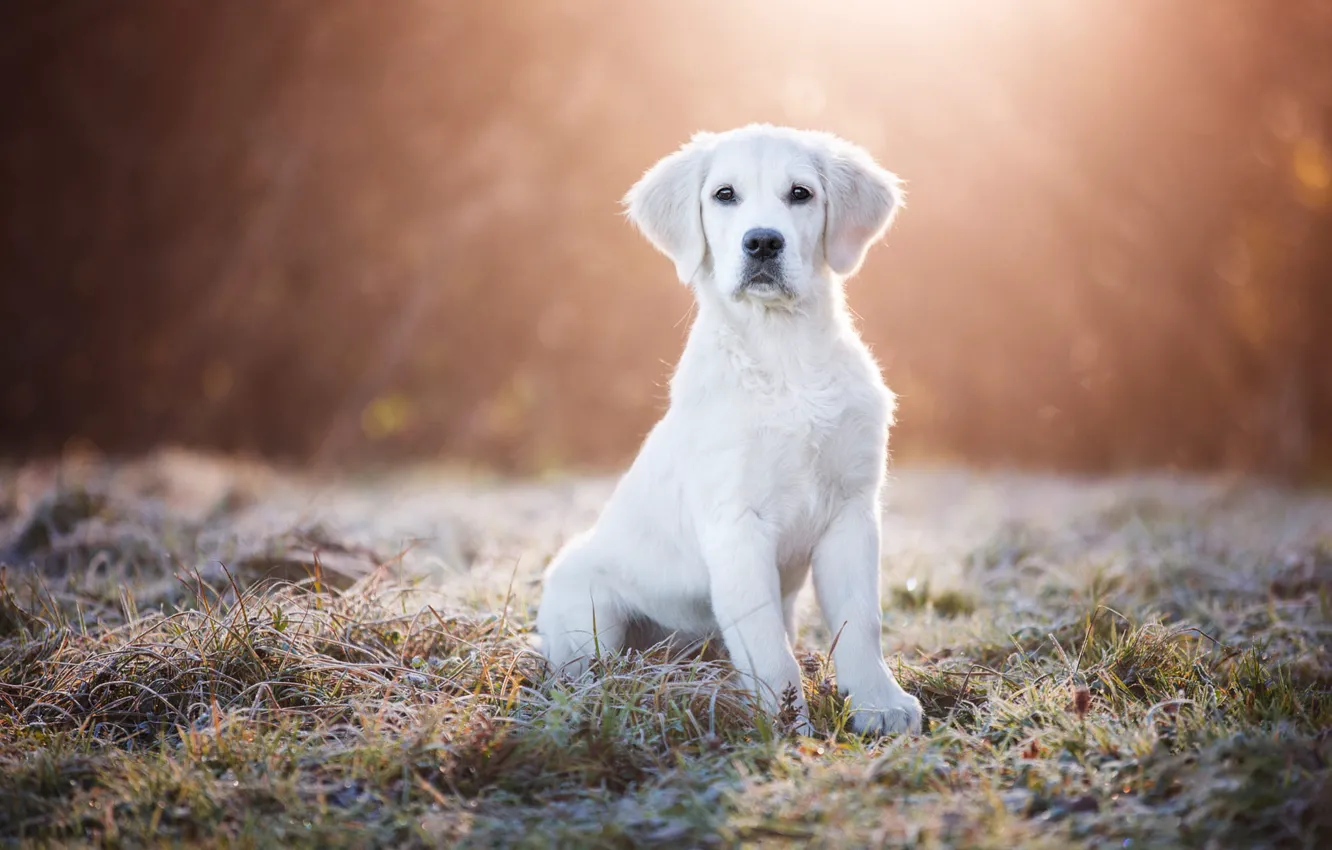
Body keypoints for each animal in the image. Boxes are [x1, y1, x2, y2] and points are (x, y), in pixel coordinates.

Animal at [535, 123, 921, 735]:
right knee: (584, 666)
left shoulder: (852, 512)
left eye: (801, 194)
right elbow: (767, 648)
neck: (784, 352)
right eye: (724, 195)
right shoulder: (736, 523)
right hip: (586, 610)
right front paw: (788, 728)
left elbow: (861, 621)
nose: (762, 243)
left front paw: (879, 705)